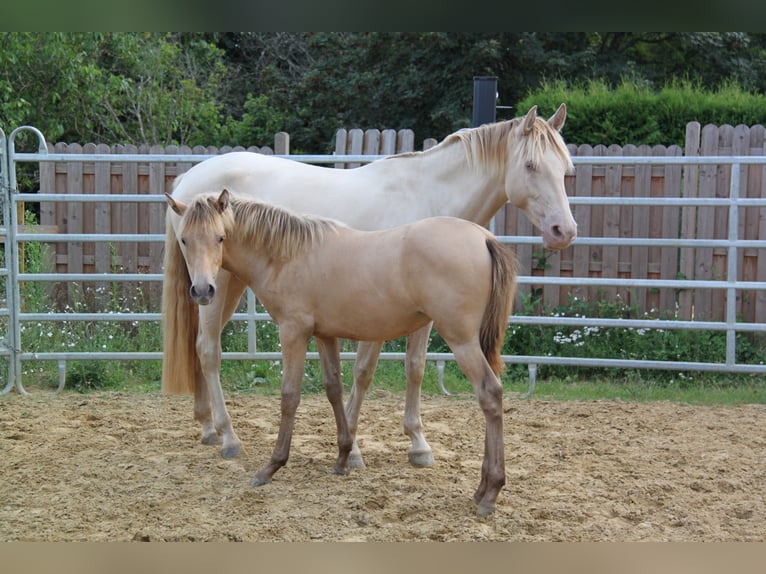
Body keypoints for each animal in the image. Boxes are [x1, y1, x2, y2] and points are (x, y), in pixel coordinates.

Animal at [165, 106, 580, 468]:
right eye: (531, 165)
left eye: (566, 170)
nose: (564, 231)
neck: (427, 196)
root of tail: (188, 183)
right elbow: (363, 372)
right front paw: (353, 448)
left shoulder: (424, 316)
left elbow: (415, 368)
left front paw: (418, 444)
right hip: (215, 285)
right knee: (209, 350)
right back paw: (228, 436)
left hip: (225, 285)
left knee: (200, 347)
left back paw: (208, 427)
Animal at [166, 191, 520, 520]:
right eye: (184, 239)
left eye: (220, 238)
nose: (203, 291)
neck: (288, 255)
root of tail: (484, 238)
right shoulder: (324, 335)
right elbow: (333, 389)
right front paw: (343, 458)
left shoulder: (293, 332)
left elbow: (289, 397)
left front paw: (272, 466)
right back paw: (482, 490)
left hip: (462, 341)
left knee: (490, 395)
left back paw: (490, 492)